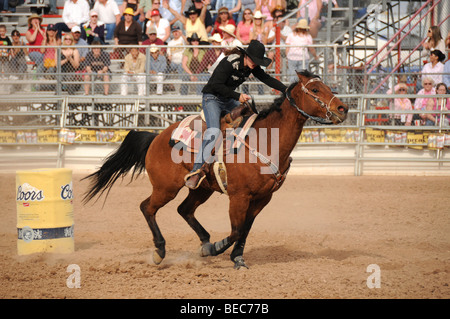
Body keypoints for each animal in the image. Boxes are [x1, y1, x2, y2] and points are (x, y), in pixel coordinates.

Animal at [82, 70, 348, 270]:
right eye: (315, 90)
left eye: (326, 86)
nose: (342, 108)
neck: (266, 140)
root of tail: (156, 137)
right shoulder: (239, 197)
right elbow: (236, 230)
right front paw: (219, 249)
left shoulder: (263, 198)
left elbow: (245, 230)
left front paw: (236, 258)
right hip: (166, 188)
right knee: (147, 207)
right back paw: (161, 251)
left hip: (202, 189)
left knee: (184, 209)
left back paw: (204, 242)